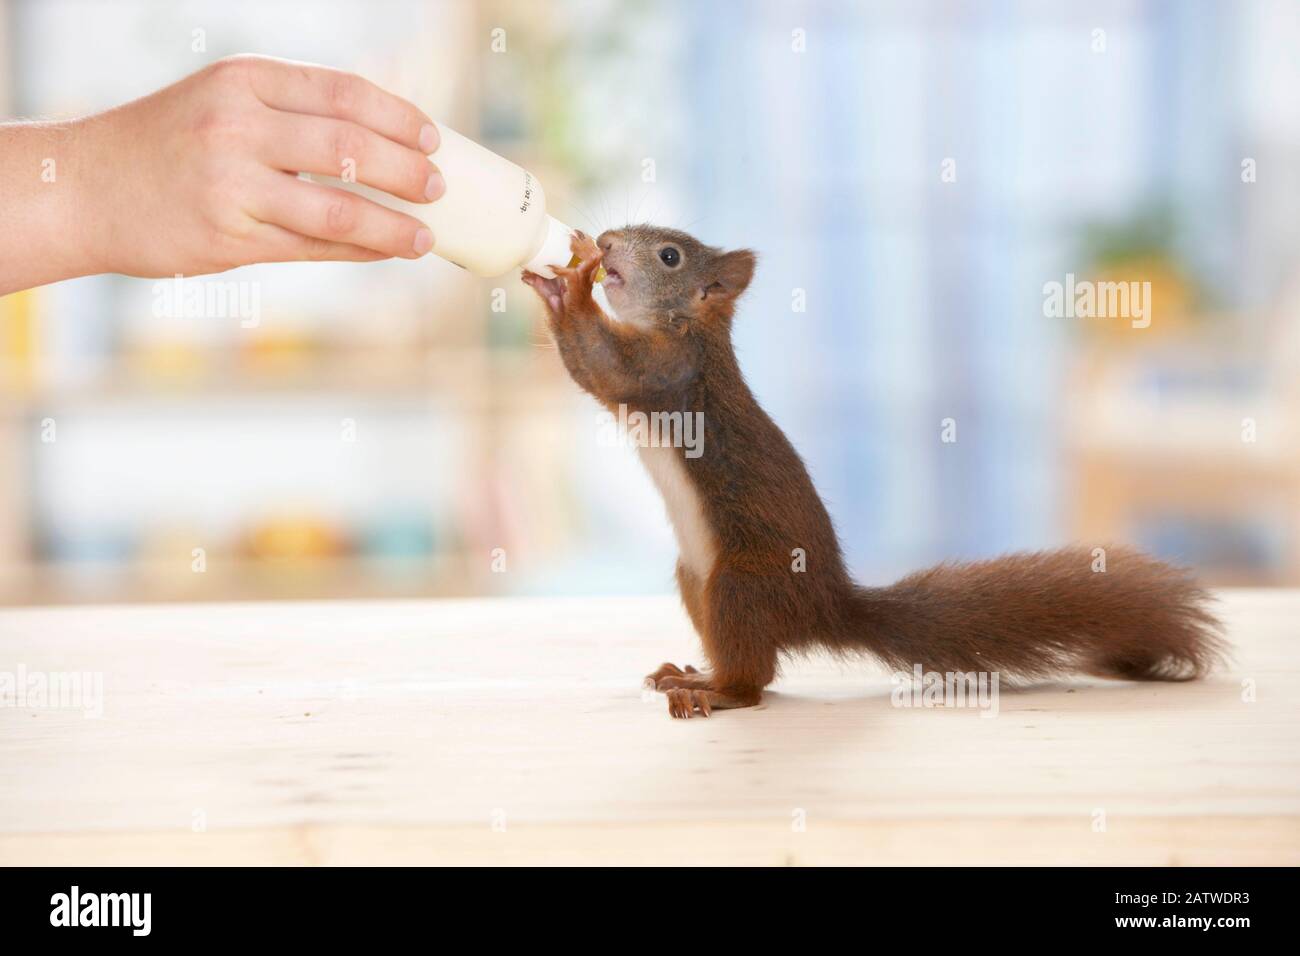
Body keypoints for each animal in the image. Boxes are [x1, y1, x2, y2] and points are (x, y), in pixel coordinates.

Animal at [522, 226, 1226, 719]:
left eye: (669, 256)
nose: (606, 242)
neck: (686, 325)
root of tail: (825, 606)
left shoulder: (670, 372)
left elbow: (605, 367)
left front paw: (569, 289)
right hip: (693, 578)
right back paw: (695, 673)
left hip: (740, 586)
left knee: (756, 684)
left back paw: (714, 693)